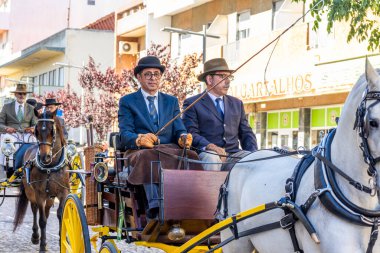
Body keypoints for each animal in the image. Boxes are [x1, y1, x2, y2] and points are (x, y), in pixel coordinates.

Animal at [13, 109, 69, 252]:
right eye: (36, 131)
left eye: (52, 130)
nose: (45, 157)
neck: (51, 166)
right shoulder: (39, 194)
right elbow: (42, 220)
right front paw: (43, 245)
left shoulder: (63, 192)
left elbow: (61, 215)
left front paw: (62, 241)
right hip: (31, 192)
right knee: (35, 210)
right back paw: (35, 236)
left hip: (50, 196)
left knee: (47, 211)